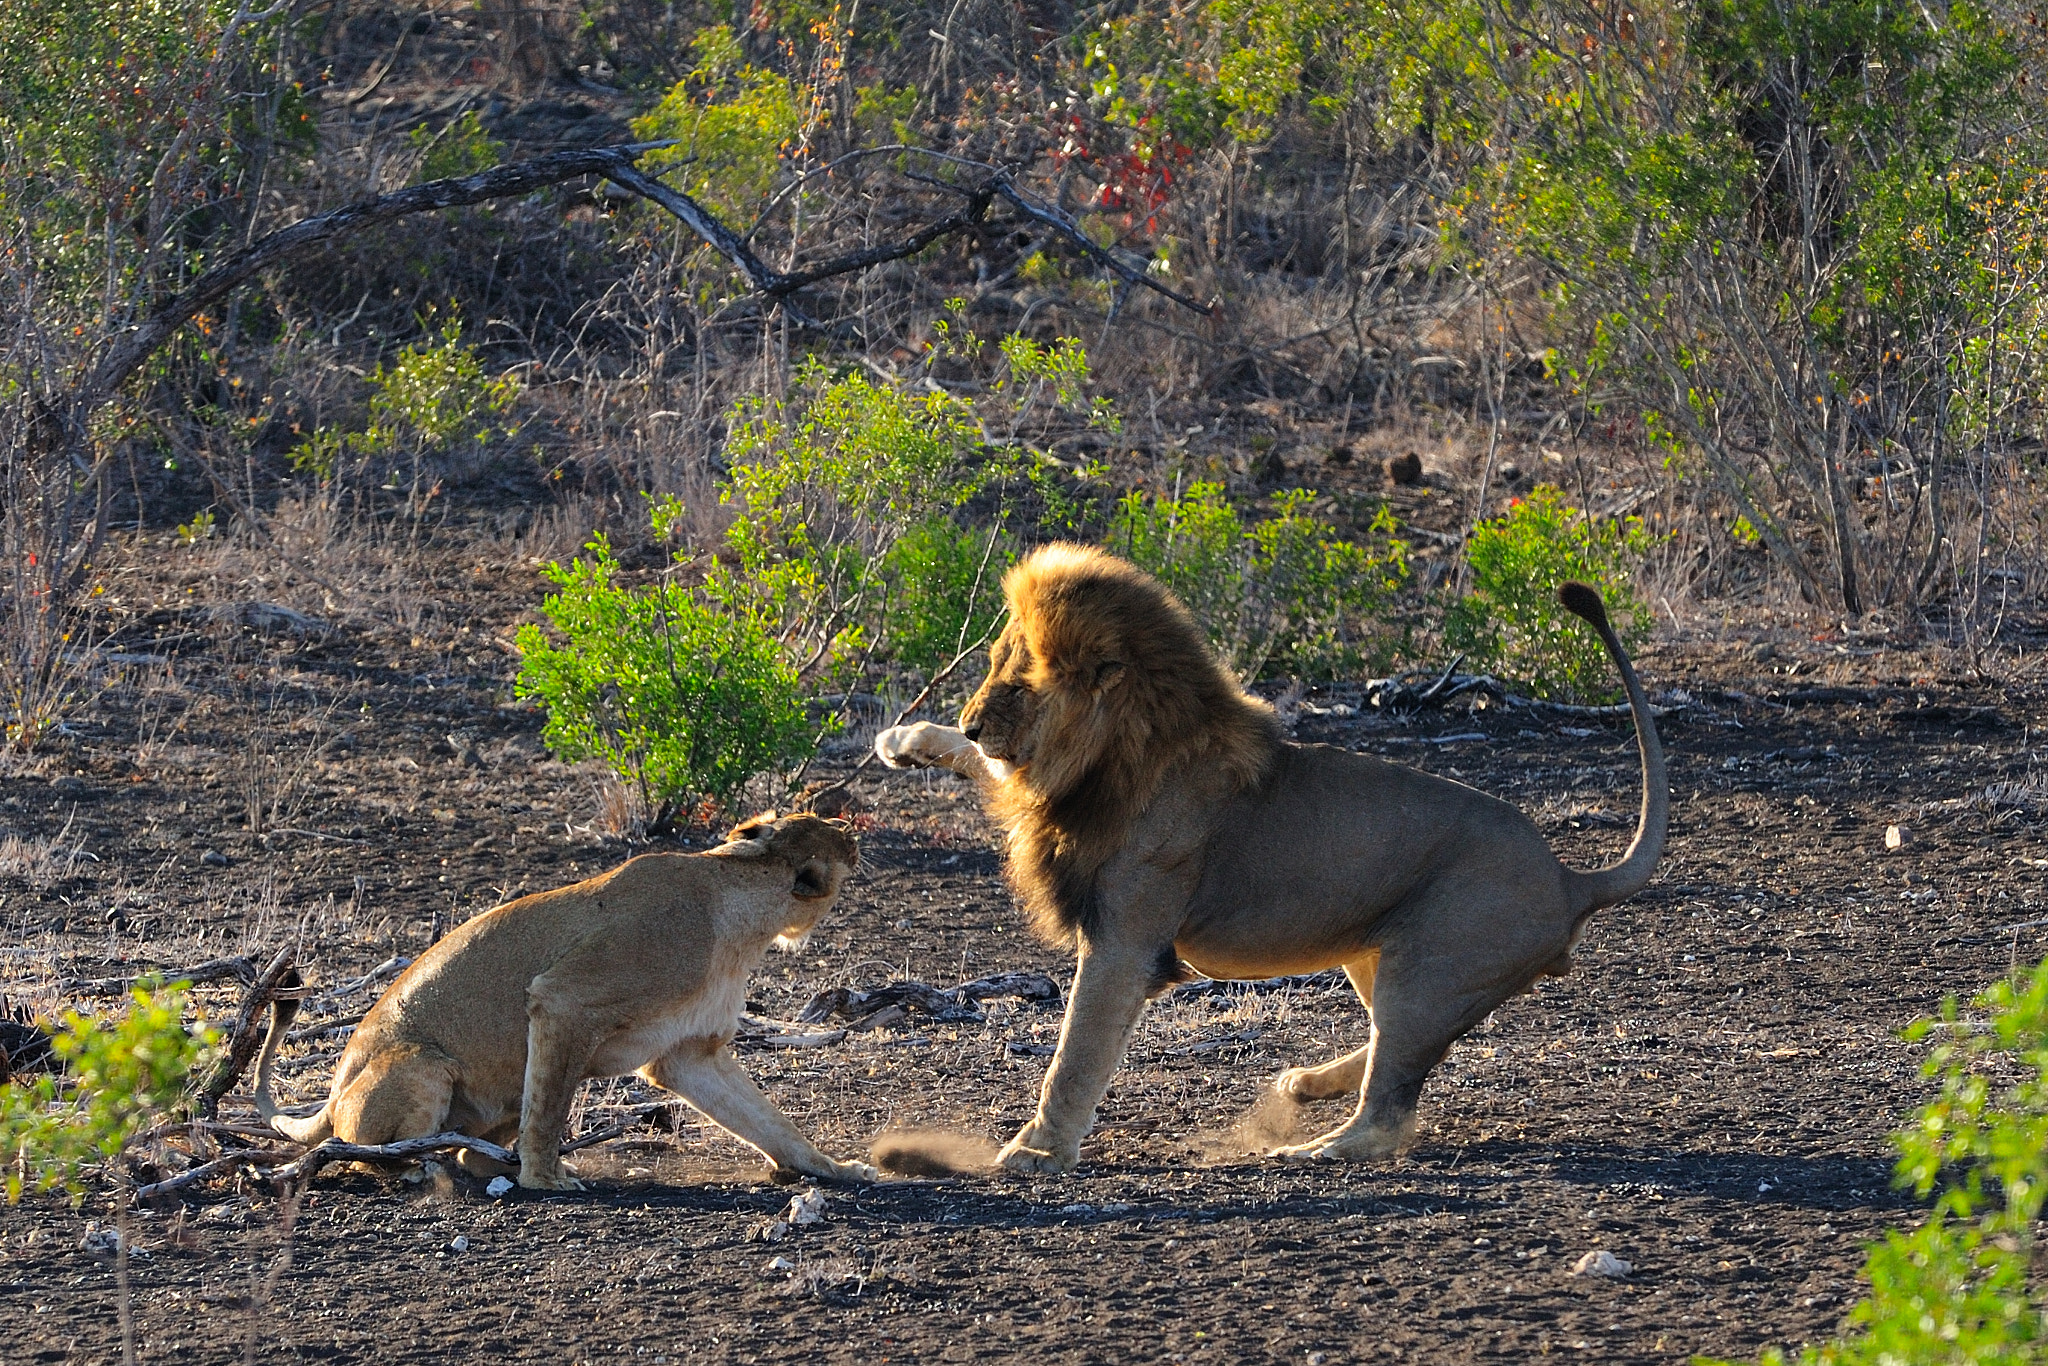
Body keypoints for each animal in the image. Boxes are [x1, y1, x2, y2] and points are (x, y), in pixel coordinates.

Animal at [251, 819, 876, 1187]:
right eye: (831, 826)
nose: (855, 828)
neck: (746, 921)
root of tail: (333, 1090)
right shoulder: (563, 1000)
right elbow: (550, 1108)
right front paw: (544, 1180)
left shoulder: (687, 1053)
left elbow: (768, 1120)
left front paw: (831, 1168)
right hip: (425, 1067)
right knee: (355, 1150)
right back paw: (420, 1165)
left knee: (469, 1153)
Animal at [876, 544, 1662, 1179]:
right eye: (990, 668)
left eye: (1017, 683)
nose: (975, 719)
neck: (1113, 758)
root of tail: (1569, 879)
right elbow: (984, 766)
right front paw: (907, 740)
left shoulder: (1125, 940)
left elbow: (1075, 1055)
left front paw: (1036, 1151)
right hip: (1378, 956)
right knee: (1392, 1049)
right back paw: (1307, 1085)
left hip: (1432, 965)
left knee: (1389, 1111)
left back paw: (1308, 1148)